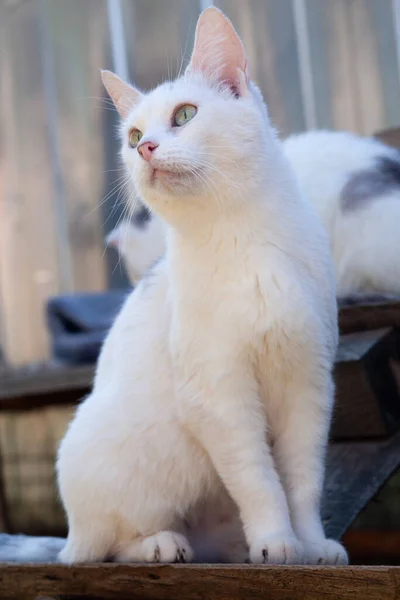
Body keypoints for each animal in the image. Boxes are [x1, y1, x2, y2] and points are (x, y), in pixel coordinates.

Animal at [57, 7, 348, 564]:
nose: (146, 149)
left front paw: (312, 543)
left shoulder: (309, 380)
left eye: (185, 115)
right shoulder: (219, 394)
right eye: (132, 136)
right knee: (107, 545)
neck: (239, 238)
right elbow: (259, 479)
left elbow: (303, 479)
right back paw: (163, 545)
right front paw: (277, 542)